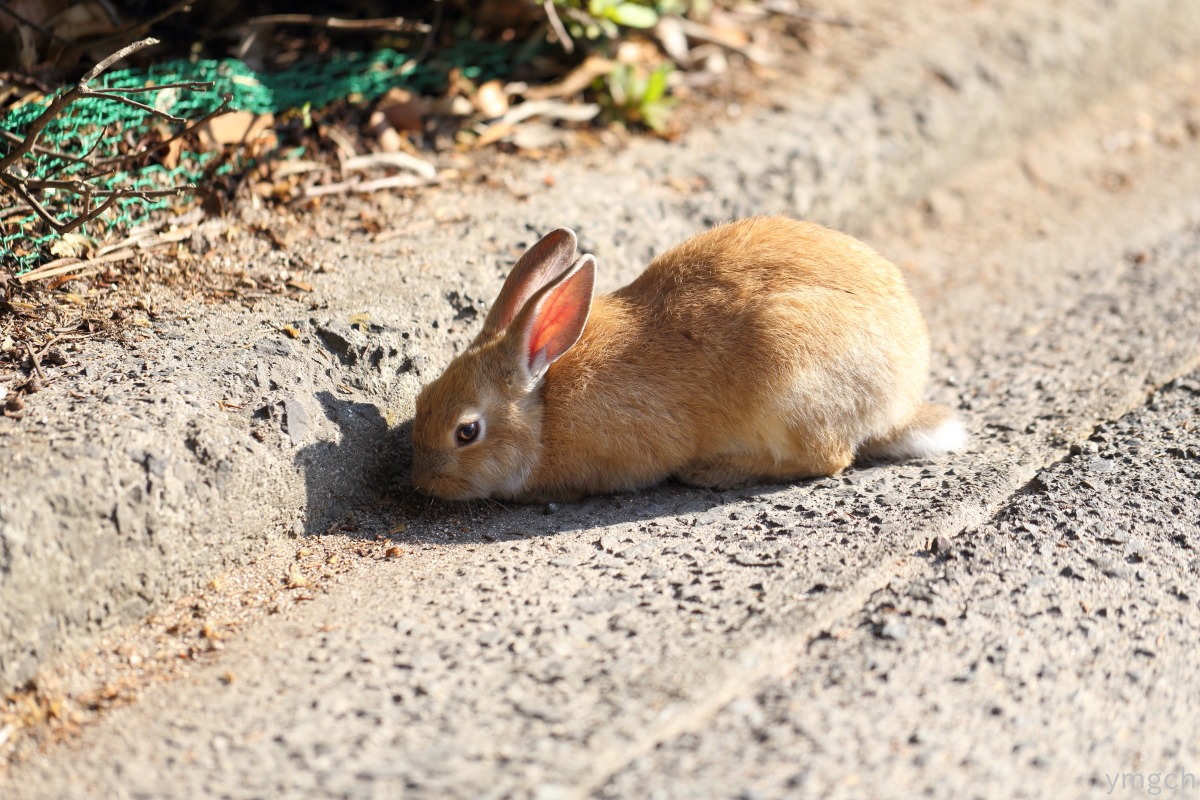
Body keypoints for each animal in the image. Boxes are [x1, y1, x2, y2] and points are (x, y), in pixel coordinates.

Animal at [412, 215, 964, 503]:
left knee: (826, 459)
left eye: (467, 432)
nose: (422, 482)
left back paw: (711, 472)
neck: (543, 409)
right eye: (421, 399)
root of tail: (899, 404)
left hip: (789, 372)